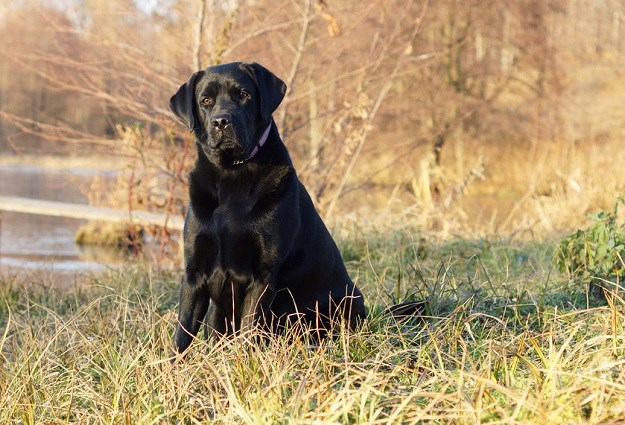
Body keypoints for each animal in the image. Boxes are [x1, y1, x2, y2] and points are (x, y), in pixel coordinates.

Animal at [171, 61, 366, 352]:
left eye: (244, 95)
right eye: (206, 100)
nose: (221, 121)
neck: (232, 174)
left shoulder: (262, 275)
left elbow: (248, 330)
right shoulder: (194, 271)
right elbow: (182, 334)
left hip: (344, 302)